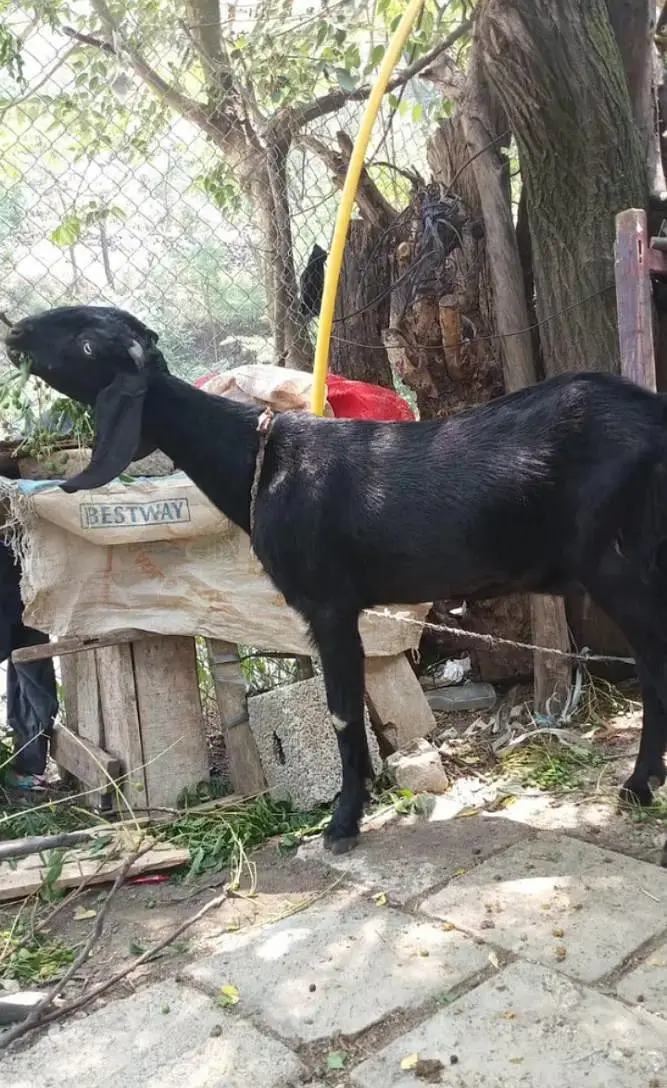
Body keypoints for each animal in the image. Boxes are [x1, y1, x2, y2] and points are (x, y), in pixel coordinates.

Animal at [5, 304, 667, 860]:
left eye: (87, 344)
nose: (16, 333)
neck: (261, 461)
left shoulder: (328, 603)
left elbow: (344, 712)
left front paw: (343, 822)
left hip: (625, 569)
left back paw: (638, 786)